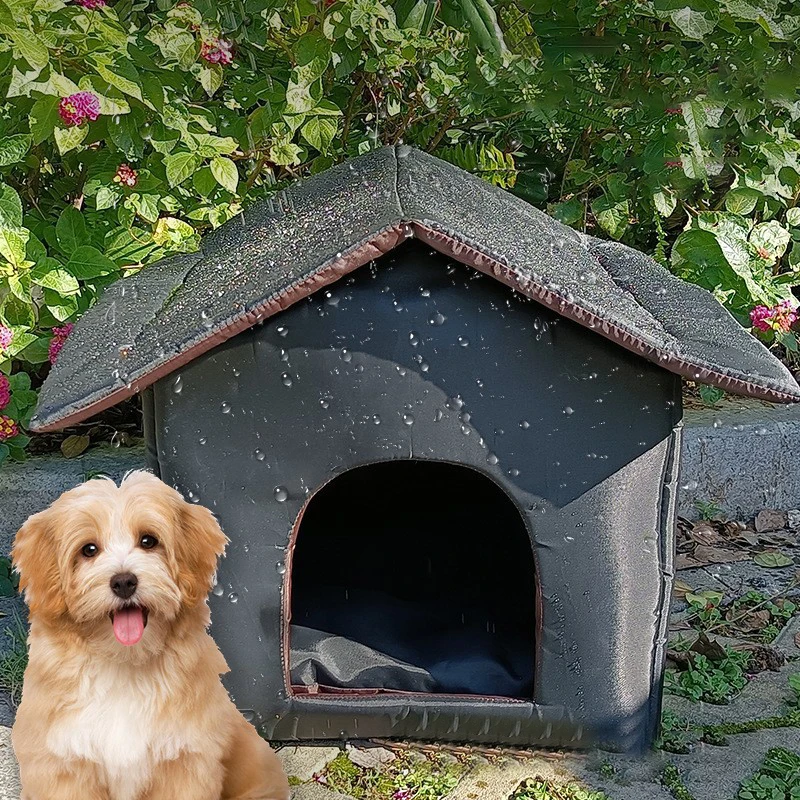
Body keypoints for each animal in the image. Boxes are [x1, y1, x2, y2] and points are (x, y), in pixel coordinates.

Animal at [10, 468, 290, 800]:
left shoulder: (185, 760)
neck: (124, 664)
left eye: (148, 541)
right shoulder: (63, 764)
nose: (123, 582)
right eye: (88, 550)